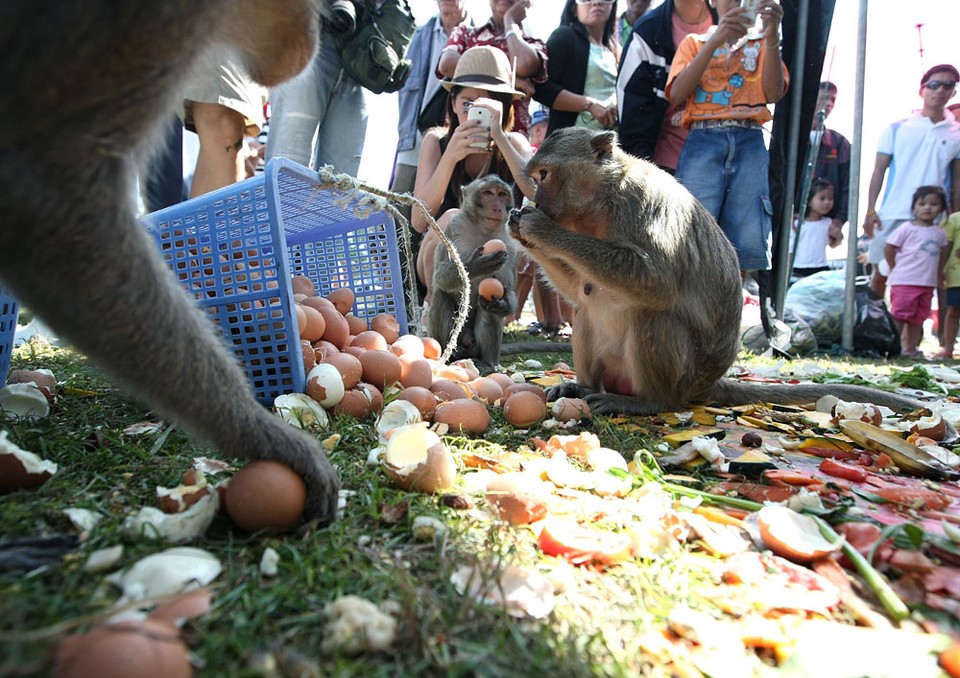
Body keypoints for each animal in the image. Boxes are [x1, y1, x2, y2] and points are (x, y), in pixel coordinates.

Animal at [428, 173, 516, 370]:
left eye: (502, 194)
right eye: (488, 193)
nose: (498, 208)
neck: (483, 231)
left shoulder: (510, 245)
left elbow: (507, 288)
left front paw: (503, 304)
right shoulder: (454, 227)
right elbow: (440, 276)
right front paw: (477, 265)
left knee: (488, 307)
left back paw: (486, 363)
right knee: (440, 295)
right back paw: (453, 353)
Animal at [510, 127, 924, 414]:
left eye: (544, 174)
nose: (536, 198)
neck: (601, 200)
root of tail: (703, 387)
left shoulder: (639, 203)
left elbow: (655, 282)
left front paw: (539, 229)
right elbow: (582, 289)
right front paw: (521, 229)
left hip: (682, 376)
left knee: (654, 316)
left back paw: (650, 401)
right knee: (587, 311)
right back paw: (583, 387)